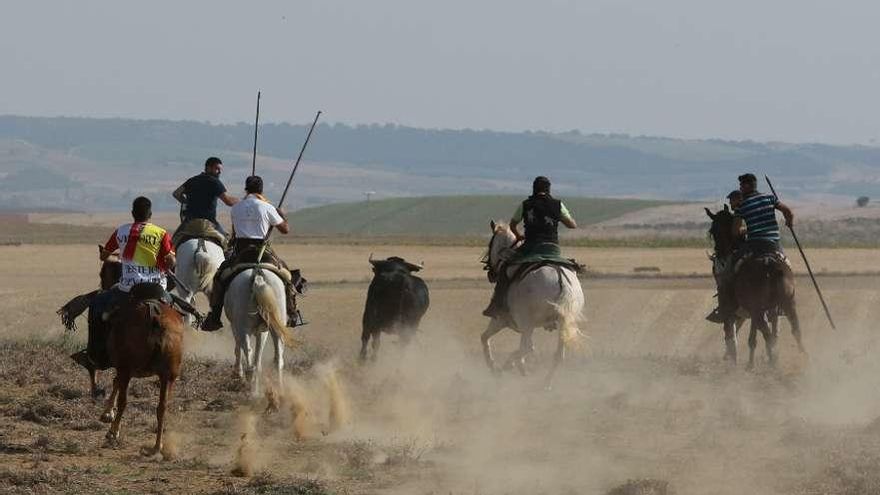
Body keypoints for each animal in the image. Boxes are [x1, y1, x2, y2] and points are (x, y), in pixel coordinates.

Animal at [99, 284, 183, 460]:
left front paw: (108, 416)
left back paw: (113, 433)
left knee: (124, 401)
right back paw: (157, 447)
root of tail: (156, 319)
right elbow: (116, 382)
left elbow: (117, 384)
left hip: (127, 367)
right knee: (162, 407)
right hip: (168, 376)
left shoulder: (124, 367)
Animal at [223, 268, 288, 400]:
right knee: (277, 358)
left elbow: (238, 348)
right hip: (276, 327)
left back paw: (251, 391)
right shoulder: (262, 331)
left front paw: (238, 373)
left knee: (249, 354)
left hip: (244, 328)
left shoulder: (235, 326)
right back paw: (278, 392)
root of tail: (257, 275)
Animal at [704, 206, 800, 368]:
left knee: (767, 335)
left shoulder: (731, 310)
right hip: (786, 304)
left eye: (713, 231)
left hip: (757, 309)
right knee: (790, 330)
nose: (720, 260)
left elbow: (733, 338)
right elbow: (751, 338)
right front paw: (750, 365)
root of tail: (769, 263)